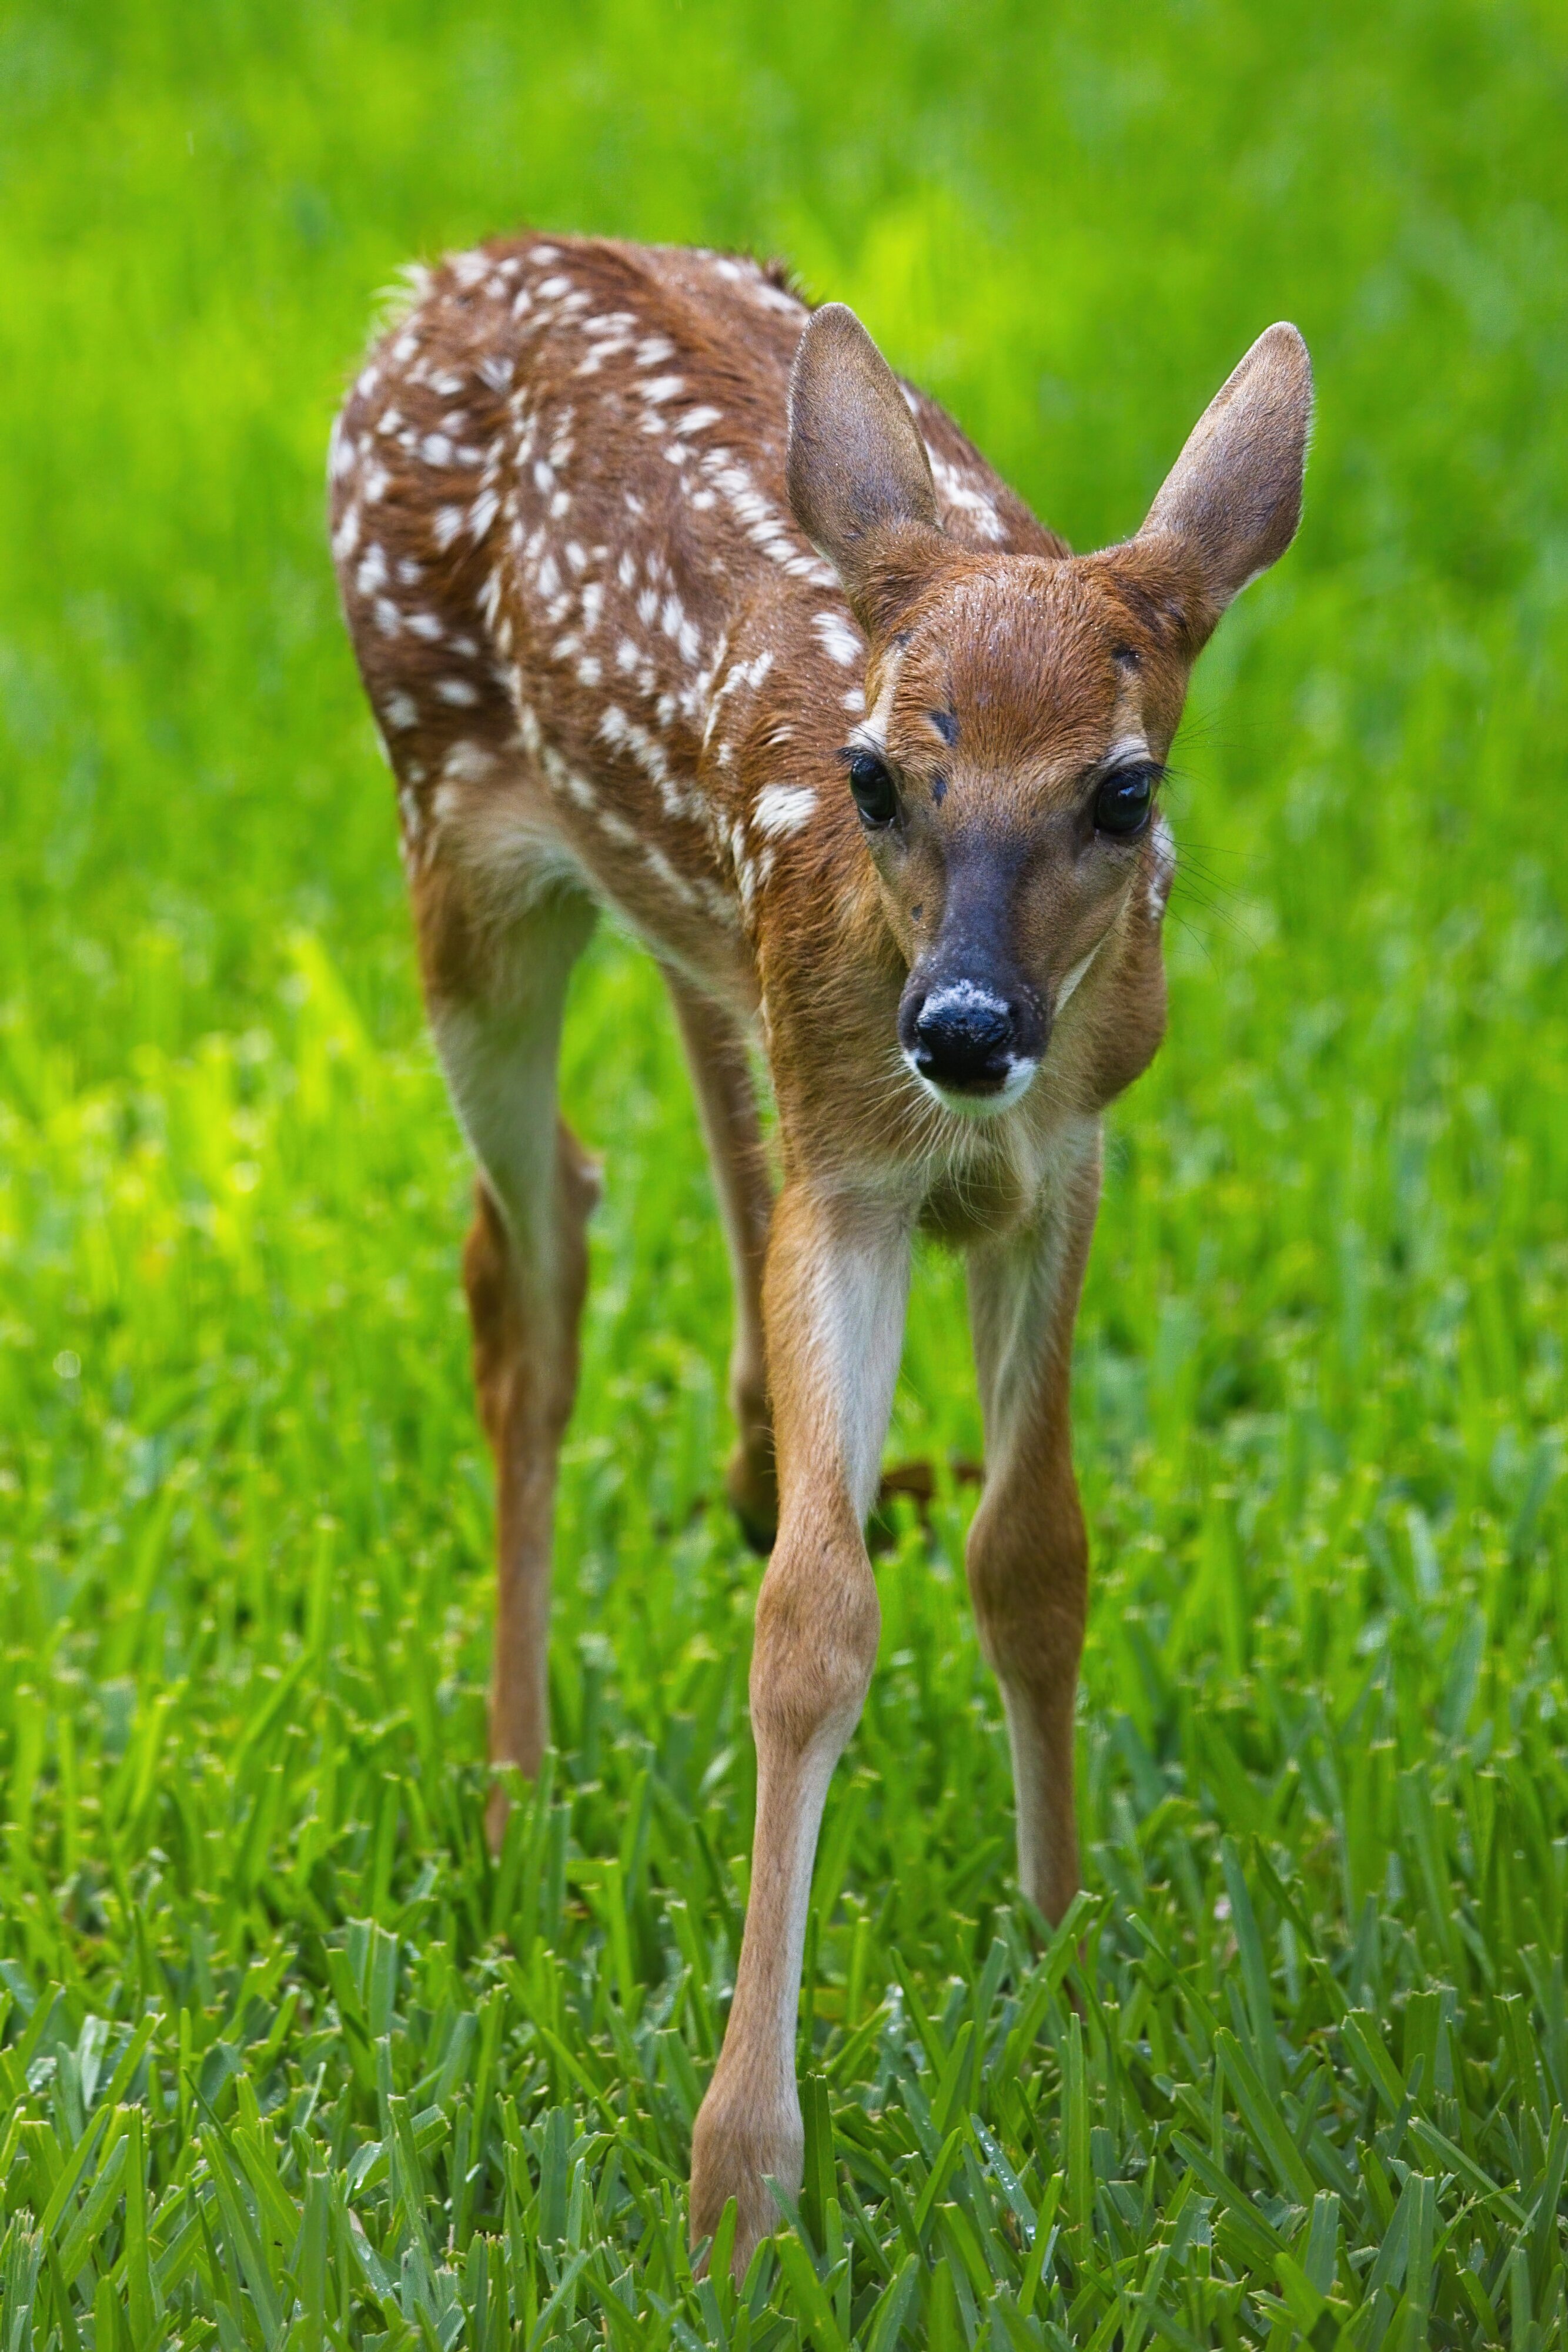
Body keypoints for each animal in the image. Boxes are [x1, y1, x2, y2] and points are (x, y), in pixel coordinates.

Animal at [331, 229, 1316, 2267]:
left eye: (1124, 792)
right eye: (873, 778)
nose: (961, 1027)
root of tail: (451, 268)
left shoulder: (1068, 1147)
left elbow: (1035, 1557)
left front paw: (1065, 1959)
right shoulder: (860, 1173)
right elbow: (813, 1624)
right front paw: (739, 2180)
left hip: (694, 943)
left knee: (692, 1125)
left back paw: (738, 1463)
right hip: (449, 842)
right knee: (527, 1263)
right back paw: (515, 1790)